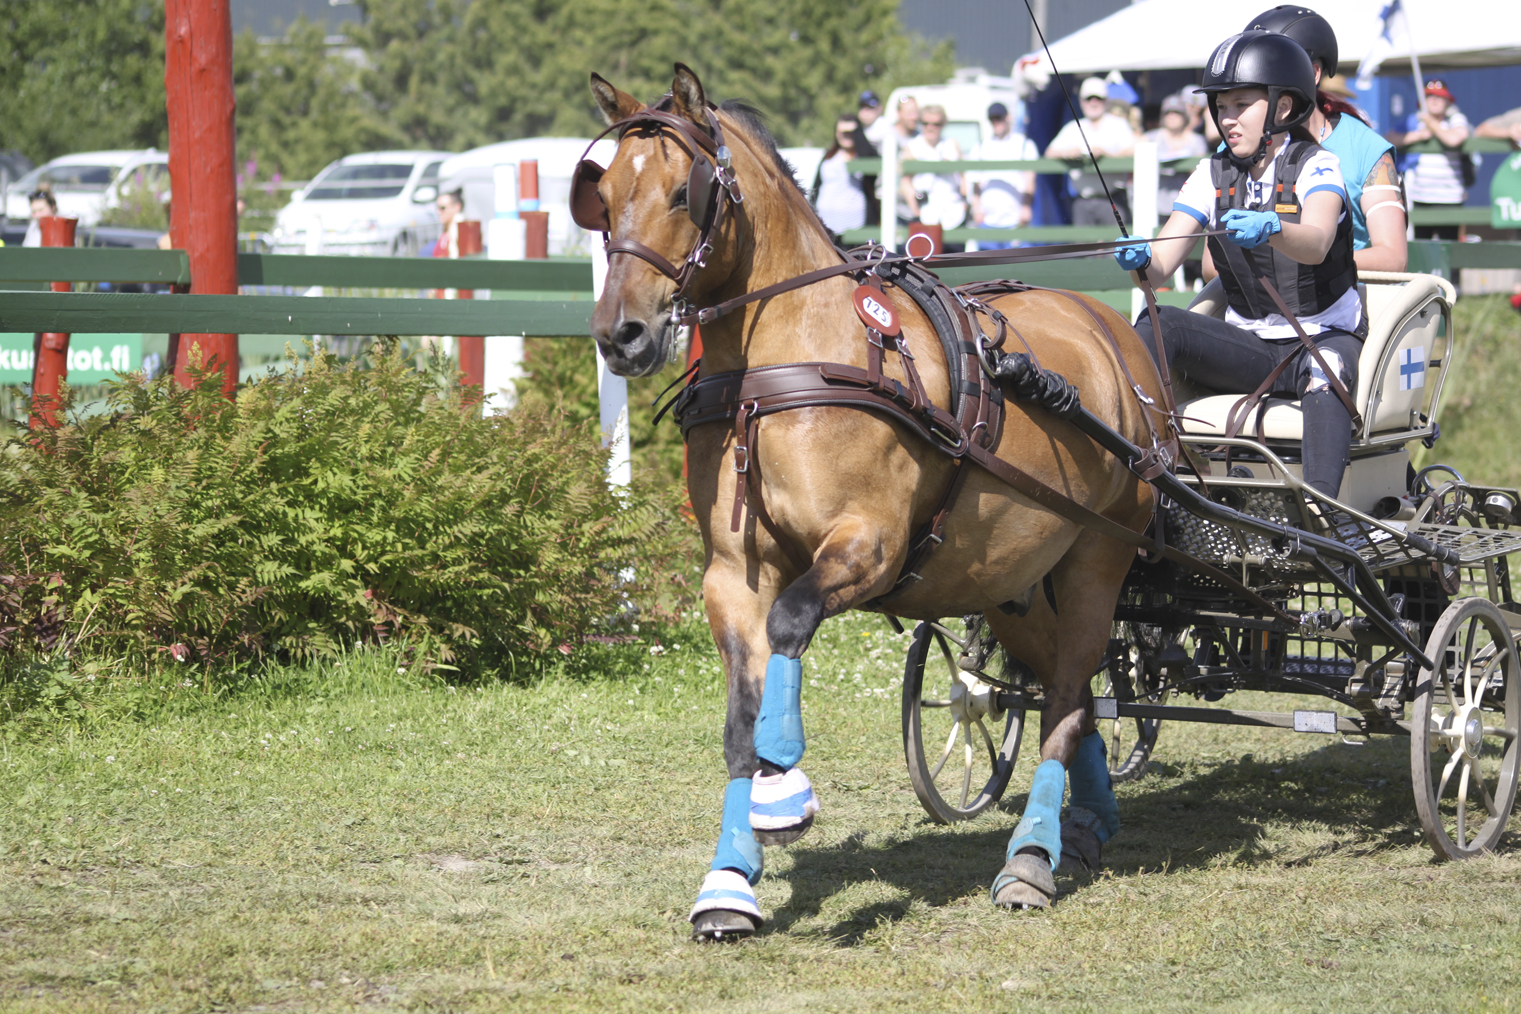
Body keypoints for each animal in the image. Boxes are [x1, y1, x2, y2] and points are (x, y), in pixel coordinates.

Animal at [581, 61, 1162, 936]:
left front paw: (782, 785)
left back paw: (1031, 857)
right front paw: (729, 879)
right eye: (604, 193)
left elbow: (791, 623)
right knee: (1073, 692)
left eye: (687, 193)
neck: (781, 370)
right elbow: (738, 721)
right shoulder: (730, 573)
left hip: (1100, 555)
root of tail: (1112, 330)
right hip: (1013, 584)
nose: (621, 335)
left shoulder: (868, 544)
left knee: (1067, 696)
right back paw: (1085, 823)